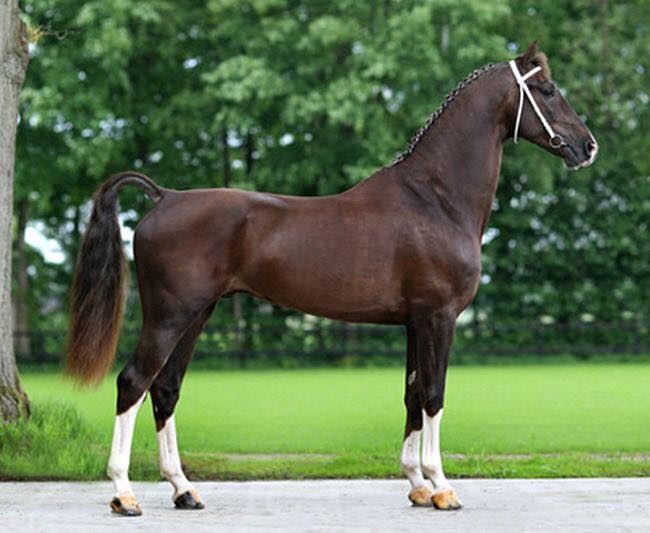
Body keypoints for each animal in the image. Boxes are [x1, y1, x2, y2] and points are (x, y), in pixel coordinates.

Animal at [66, 42, 596, 516]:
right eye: (547, 90)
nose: (587, 146)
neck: (435, 199)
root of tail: (165, 197)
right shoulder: (439, 317)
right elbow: (434, 394)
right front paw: (442, 487)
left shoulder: (414, 322)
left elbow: (411, 394)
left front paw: (417, 486)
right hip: (169, 317)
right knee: (134, 382)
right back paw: (124, 495)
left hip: (196, 315)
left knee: (166, 389)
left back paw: (184, 490)